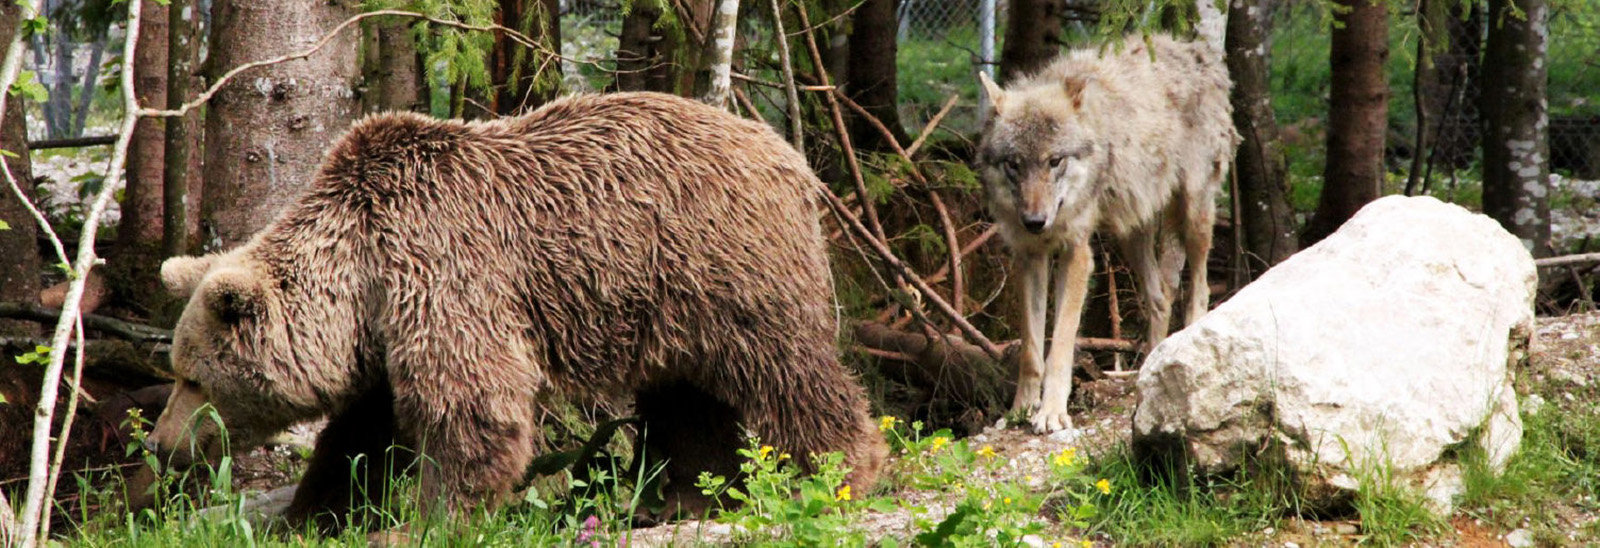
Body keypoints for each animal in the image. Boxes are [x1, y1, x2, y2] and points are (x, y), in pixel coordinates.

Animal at [976, 34, 1239, 433]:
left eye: (1055, 161)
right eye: (1014, 165)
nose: (1034, 221)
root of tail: (1192, 50)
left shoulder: (1077, 254)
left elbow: (1060, 346)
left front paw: (1052, 412)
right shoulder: (1030, 256)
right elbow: (1031, 351)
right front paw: (1019, 410)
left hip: (1195, 214)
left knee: (1200, 289)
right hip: (1130, 233)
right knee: (1160, 297)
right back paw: (1149, 366)